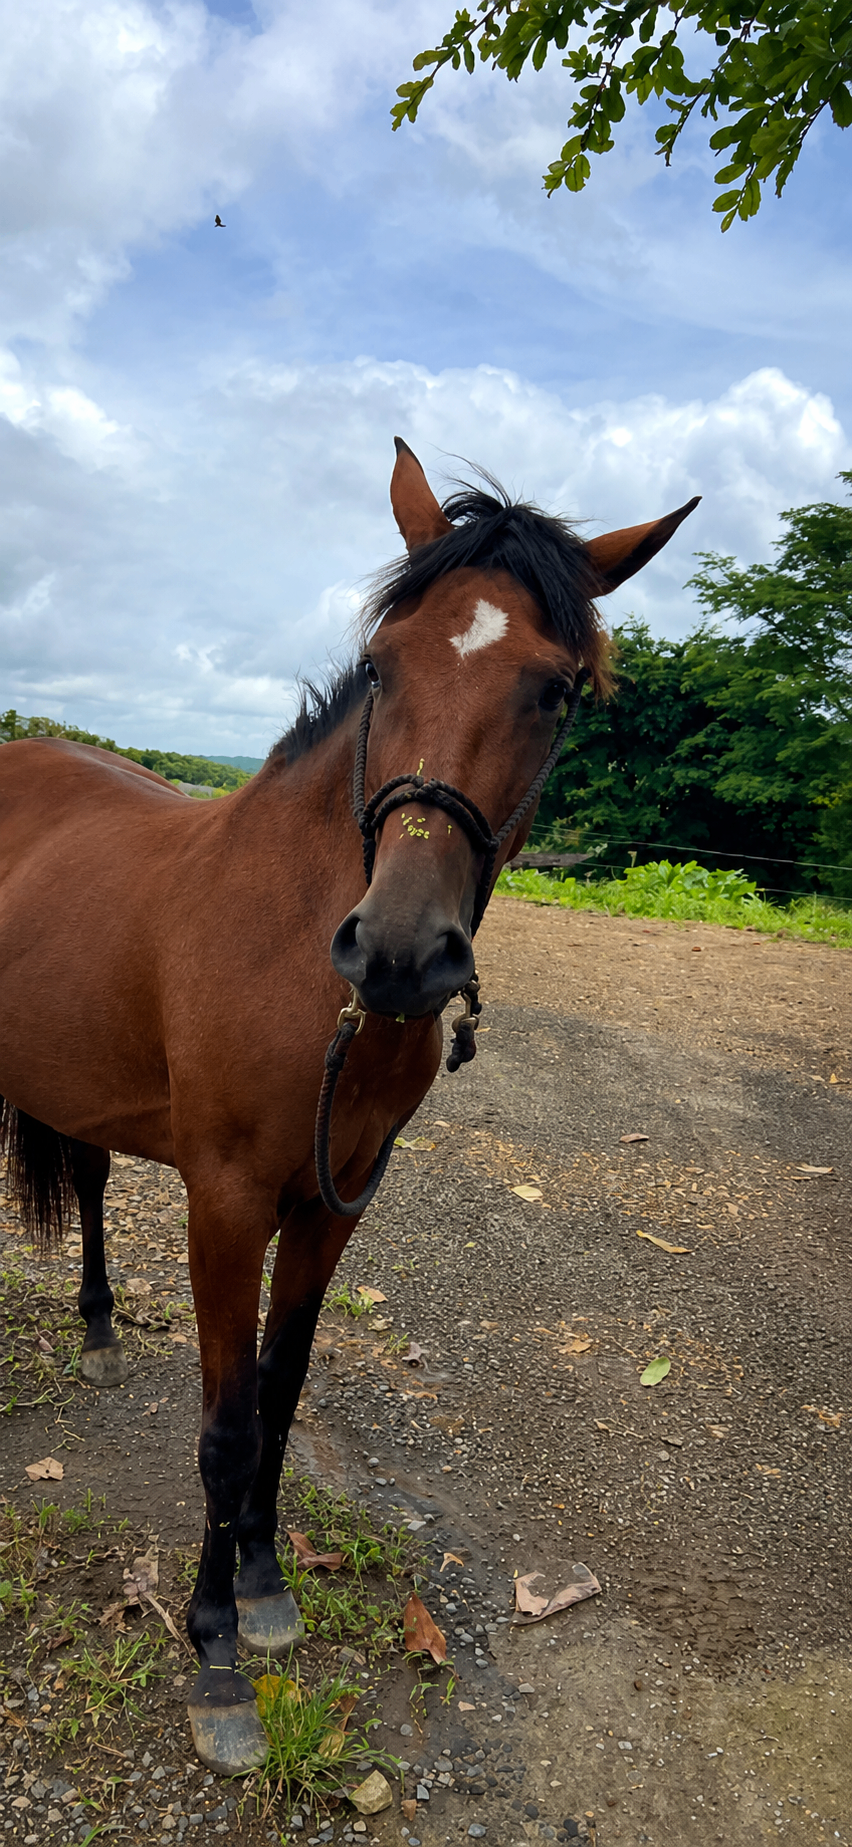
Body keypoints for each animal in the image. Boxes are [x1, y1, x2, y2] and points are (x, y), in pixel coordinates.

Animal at [0, 440, 698, 1774]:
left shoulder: (336, 1203)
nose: (400, 953)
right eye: (382, 664)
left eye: (555, 691)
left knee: (96, 1175)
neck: (292, 952)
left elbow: (280, 1392)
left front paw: (267, 1585)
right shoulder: (225, 1204)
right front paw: (216, 1659)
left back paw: (101, 1325)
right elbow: (225, 1426)